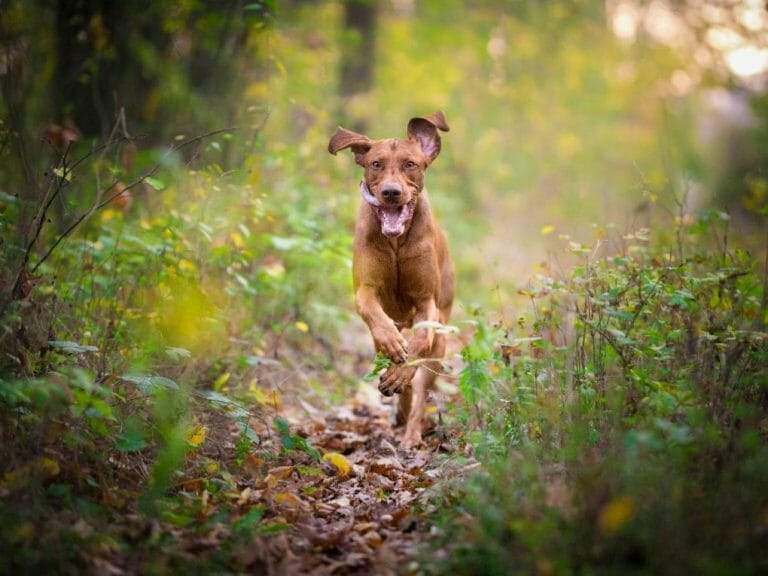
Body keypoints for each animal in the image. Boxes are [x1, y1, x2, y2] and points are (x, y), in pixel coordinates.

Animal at [328, 110, 452, 448]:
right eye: (376, 163)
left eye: (410, 164)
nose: (391, 192)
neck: (396, 242)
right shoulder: (365, 290)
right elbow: (376, 317)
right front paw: (393, 348)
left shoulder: (427, 302)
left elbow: (420, 340)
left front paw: (400, 372)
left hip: (440, 344)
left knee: (422, 389)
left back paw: (411, 433)